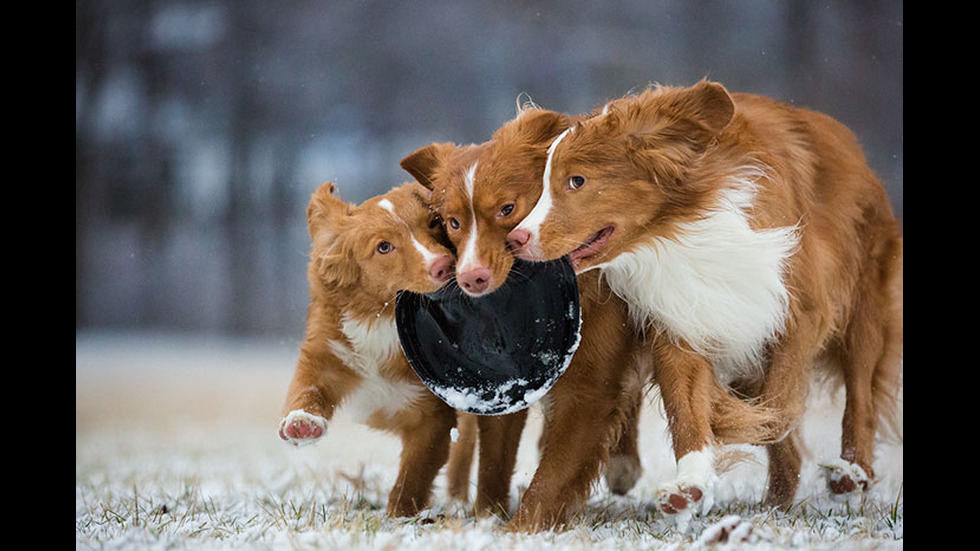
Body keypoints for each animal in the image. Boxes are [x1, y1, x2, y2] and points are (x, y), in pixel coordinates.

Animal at [276, 183, 460, 520]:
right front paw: (301, 423)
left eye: (432, 224)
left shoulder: (433, 415)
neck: (384, 320)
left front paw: (399, 513)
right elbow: (306, 387)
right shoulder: (326, 356)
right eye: (384, 247)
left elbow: (415, 471)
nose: (443, 266)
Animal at [510, 81, 908, 516]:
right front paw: (691, 483)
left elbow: (778, 402)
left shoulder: (800, 311)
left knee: (860, 394)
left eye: (577, 180)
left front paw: (733, 420)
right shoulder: (683, 316)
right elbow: (688, 407)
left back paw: (852, 470)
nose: (516, 238)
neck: (675, 232)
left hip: (865, 307)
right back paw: (776, 501)